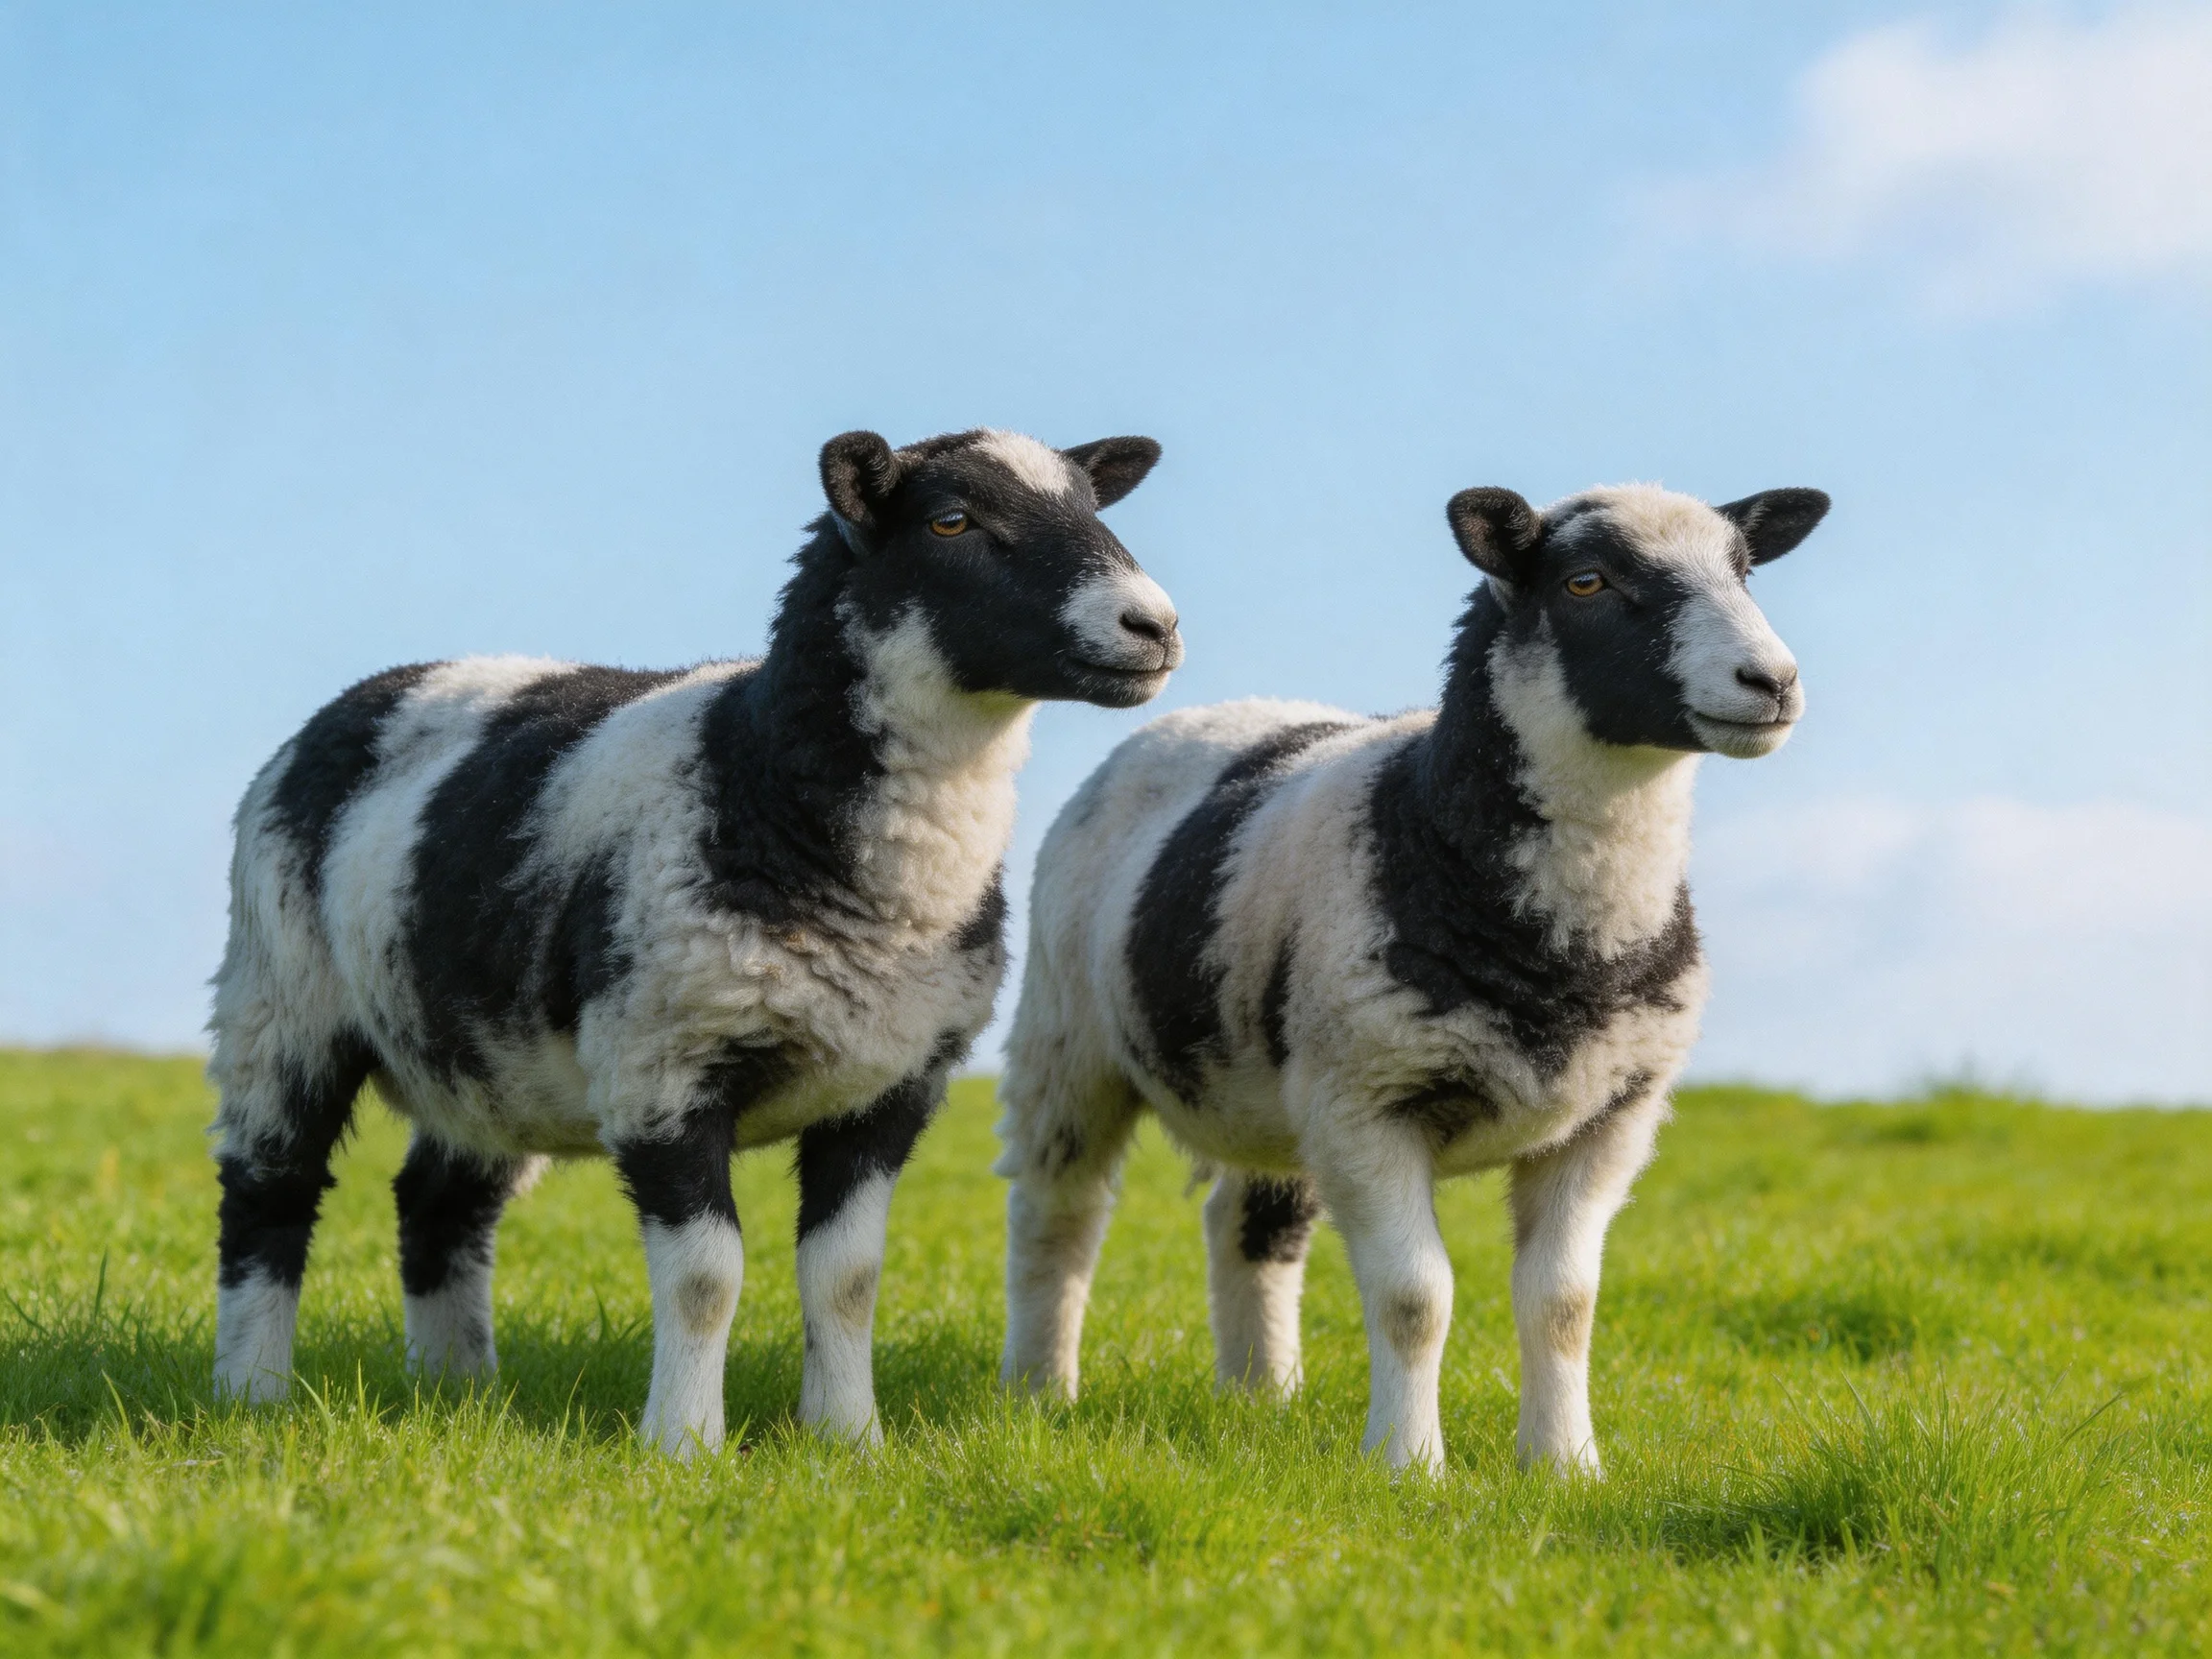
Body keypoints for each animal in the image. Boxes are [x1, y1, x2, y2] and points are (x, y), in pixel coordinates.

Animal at [208, 426, 1180, 1456]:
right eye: (952, 521)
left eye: (1091, 506)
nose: (1152, 627)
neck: (762, 780)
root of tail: (366, 695)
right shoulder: (663, 1067)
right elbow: (708, 1277)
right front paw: (683, 1444)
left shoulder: (892, 1087)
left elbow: (849, 1278)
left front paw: (848, 1439)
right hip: (279, 993)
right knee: (269, 1192)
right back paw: (253, 1392)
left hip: (485, 1056)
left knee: (439, 1205)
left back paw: (457, 1391)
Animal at [997, 479, 1829, 1475]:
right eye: (1587, 581)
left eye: (1745, 572)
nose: (1772, 683)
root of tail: (1212, 711)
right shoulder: (1370, 1104)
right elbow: (1414, 1297)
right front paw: (1407, 1466)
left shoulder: (1611, 1117)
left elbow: (1564, 1304)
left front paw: (1565, 1467)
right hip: (1068, 1038)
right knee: (1059, 1216)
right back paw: (1040, 1392)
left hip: (1275, 1083)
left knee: (1249, 1227)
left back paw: (1263, 1397)